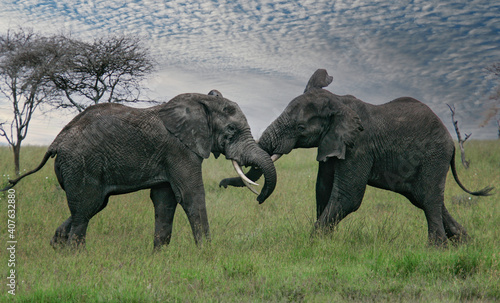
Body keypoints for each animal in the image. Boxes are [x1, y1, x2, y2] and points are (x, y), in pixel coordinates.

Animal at [0, 91, 278, 252]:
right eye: (231, 130)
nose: (258, 199)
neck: (201, 101)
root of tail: (55, 142)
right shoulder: (179, 149)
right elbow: (191, 195)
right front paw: (207, 255)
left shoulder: (169, 156)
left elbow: (165, 201)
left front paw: (159, 256)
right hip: (81, 164)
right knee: (85, 209)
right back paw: (76, 256)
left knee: (91, 206)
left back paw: (56, 248)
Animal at [221, 68, 494, 247]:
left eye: (300, 127)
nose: (222, 184)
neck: (339, 102)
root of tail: (450, 140)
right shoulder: (332, 143)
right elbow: (323, 190)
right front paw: (324, 243)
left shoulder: (358, 146)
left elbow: (348, 196)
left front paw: (312, 244)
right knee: (421, 198)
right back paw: (466, 243)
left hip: (434, 155)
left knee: (428, 196)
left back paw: (436, 248)